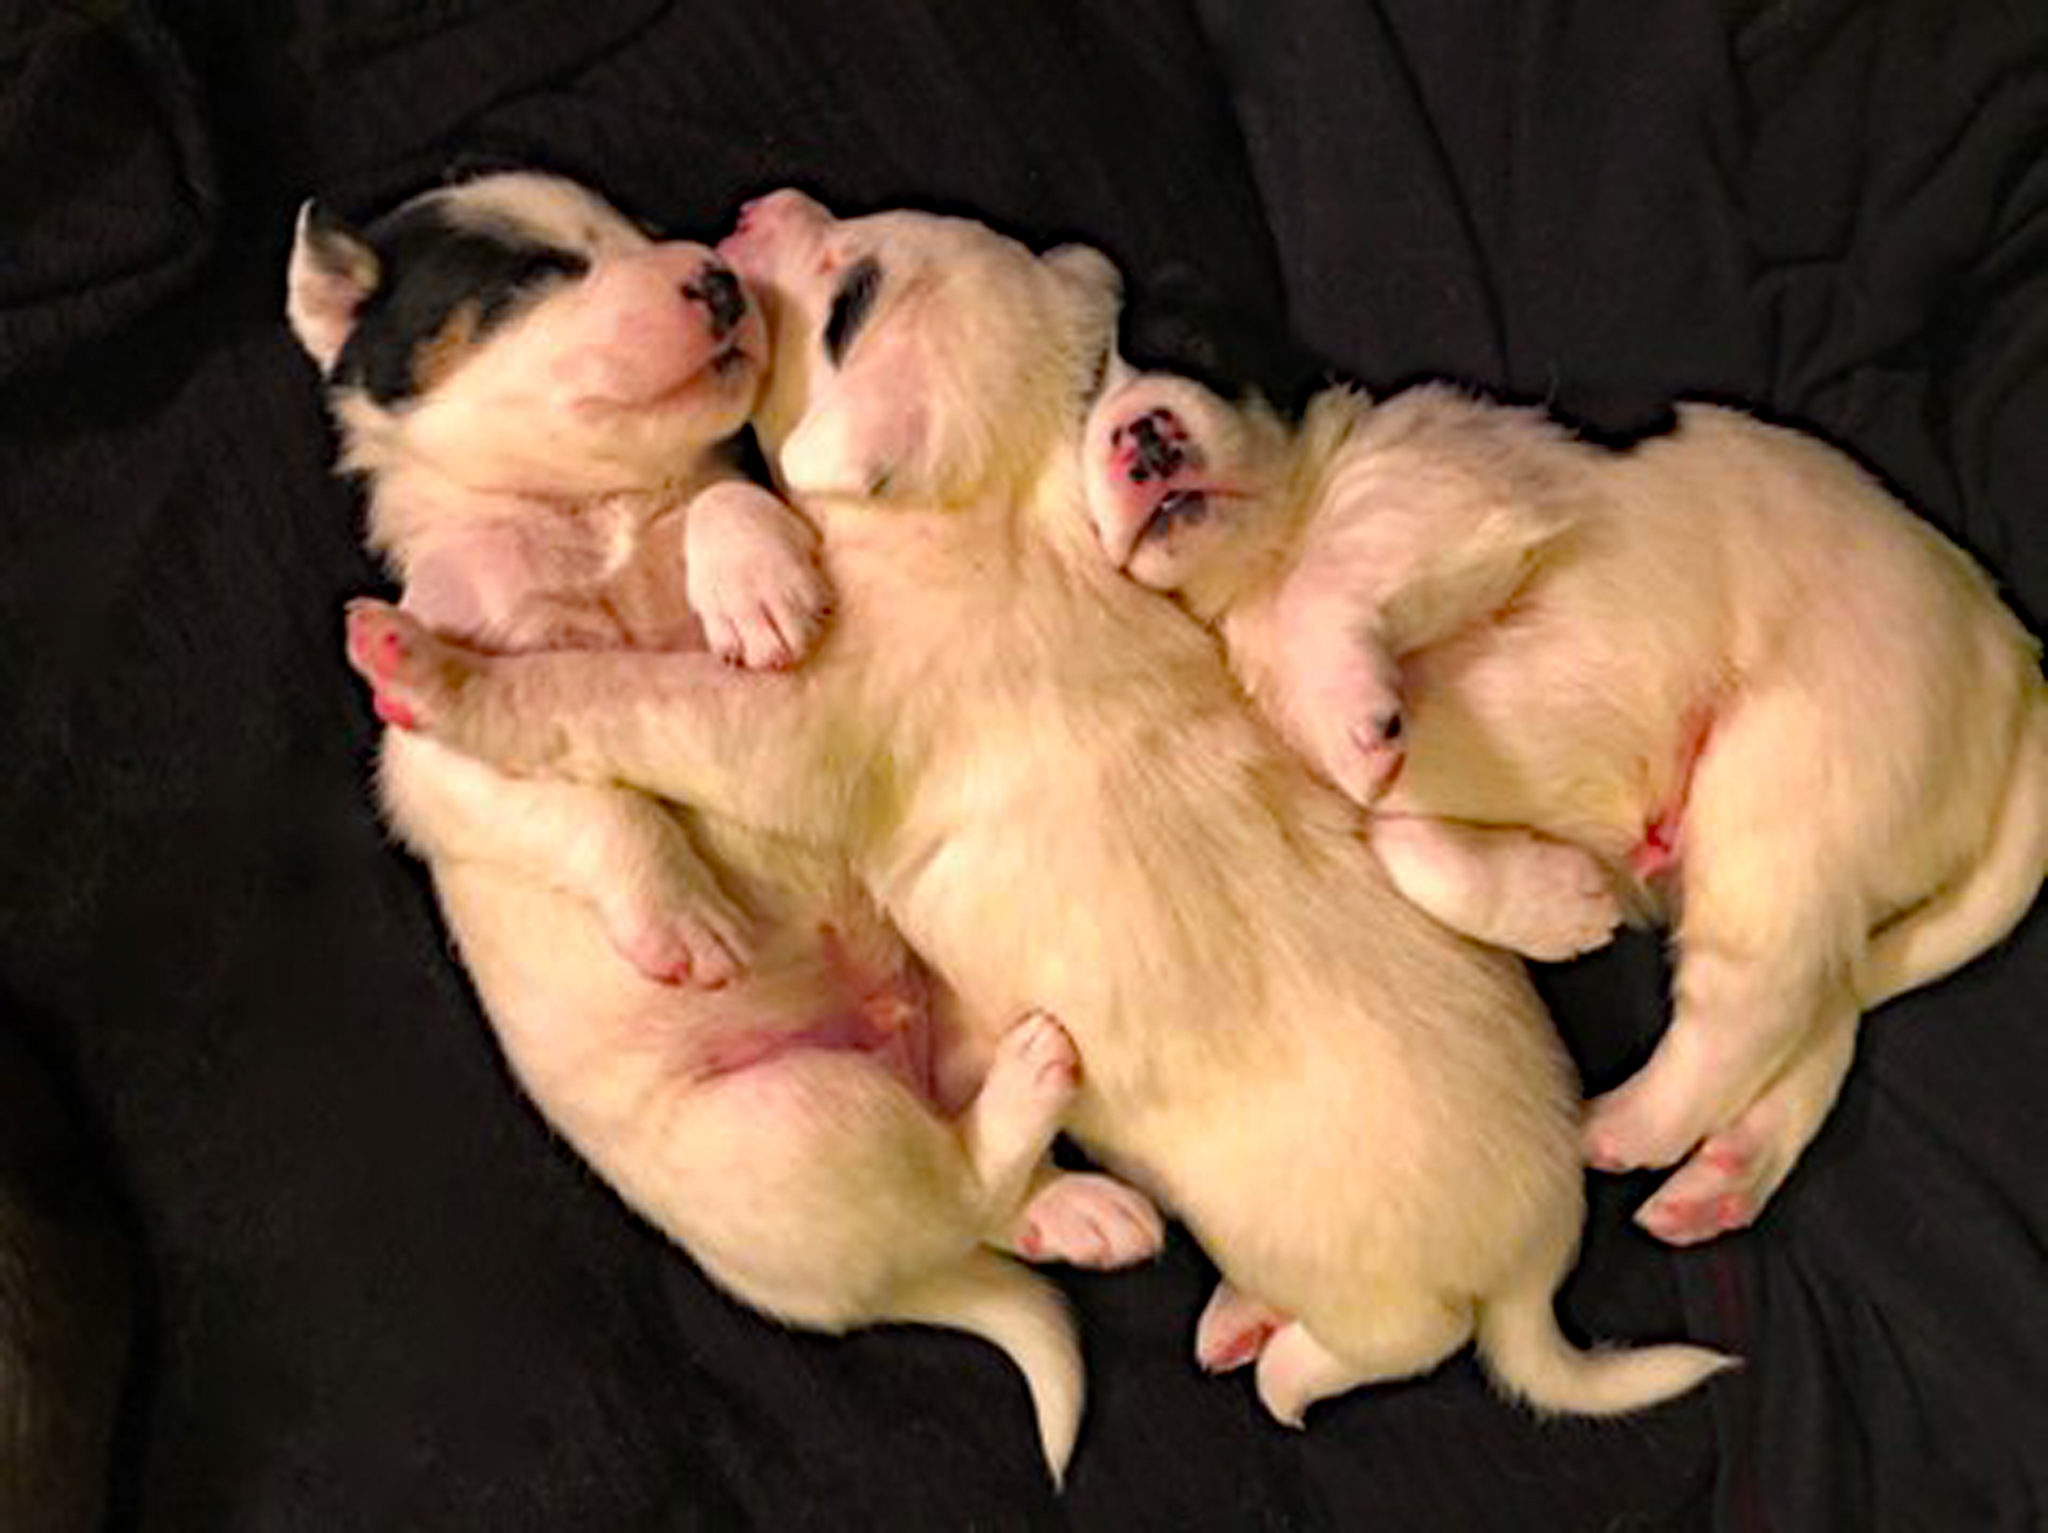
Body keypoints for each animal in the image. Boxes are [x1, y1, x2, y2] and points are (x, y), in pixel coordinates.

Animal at [288, 167, 1163, 1473]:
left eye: (642, 238)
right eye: (532, 276)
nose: (708, 272)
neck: (590, 515)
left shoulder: (715, 495)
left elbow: (727, 508)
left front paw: (751, 588)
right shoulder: (426, 766)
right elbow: (587, 805)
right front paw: (681, 918)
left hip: (942, 999)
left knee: (969, 1188)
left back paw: (1076, 1201)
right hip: (797, 1119)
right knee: (953, 1192)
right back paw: (1041, 1149)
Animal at [335, 194, 1728, 1432]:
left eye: (844, 299)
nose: (744, 213)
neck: (996, 510)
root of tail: (1530, 1274)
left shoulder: (778, 730)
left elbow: (605, 695)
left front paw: (431, 670)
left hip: (810, 1125)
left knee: (1006, 1205)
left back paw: (1240, 1325)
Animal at [1081, 343, 2039, 1244]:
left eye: (1192, 341)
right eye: (1089, 382)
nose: (1145, 432)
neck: (1267, 555)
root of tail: (2012, 660)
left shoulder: (1452, 500)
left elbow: (1338, 578)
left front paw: (1354, 710)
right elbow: (1394, 834)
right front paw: (1555, 903)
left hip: (1786, 784)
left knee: (1756, 1002)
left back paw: (1627, 1124)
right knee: (1821, 1007)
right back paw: (1722, 1174)